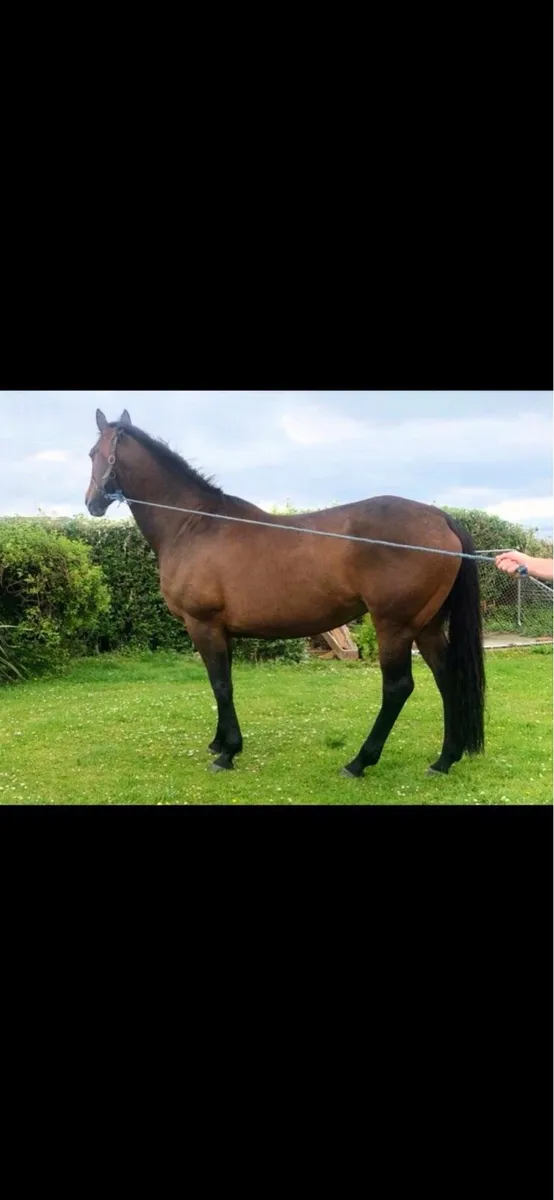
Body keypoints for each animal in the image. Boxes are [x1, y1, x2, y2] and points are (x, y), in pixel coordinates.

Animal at [86, 408, 485, 779]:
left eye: (92, 453)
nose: (91, 503)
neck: (194, 524)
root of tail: (440, 518)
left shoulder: (203, 625)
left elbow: (221, 684)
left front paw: (227, 753)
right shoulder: (222, 631)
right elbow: (224, 683)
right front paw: (219, 742)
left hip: (394, 626)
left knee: (398, 687)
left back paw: (359, 762)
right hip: (427, 625)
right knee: (447, 677)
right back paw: (444, 760)